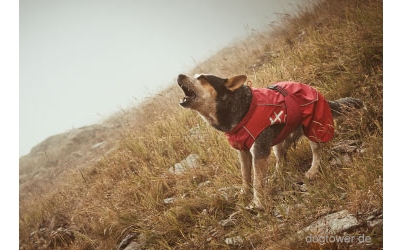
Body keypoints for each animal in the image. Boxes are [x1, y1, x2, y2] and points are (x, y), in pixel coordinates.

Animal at [177, 74, 364, 209]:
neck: (241, 111)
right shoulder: (243, 152)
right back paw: (276, 175)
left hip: (314, 127)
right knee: (281, 158)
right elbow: (246, 175)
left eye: (202, 78)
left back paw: (312, 170)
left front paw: (257, 202)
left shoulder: (259, 150)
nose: (179, 75)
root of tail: (316, 91)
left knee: (316, 150)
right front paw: (244, 192)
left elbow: (257, 181)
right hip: (280, 140)